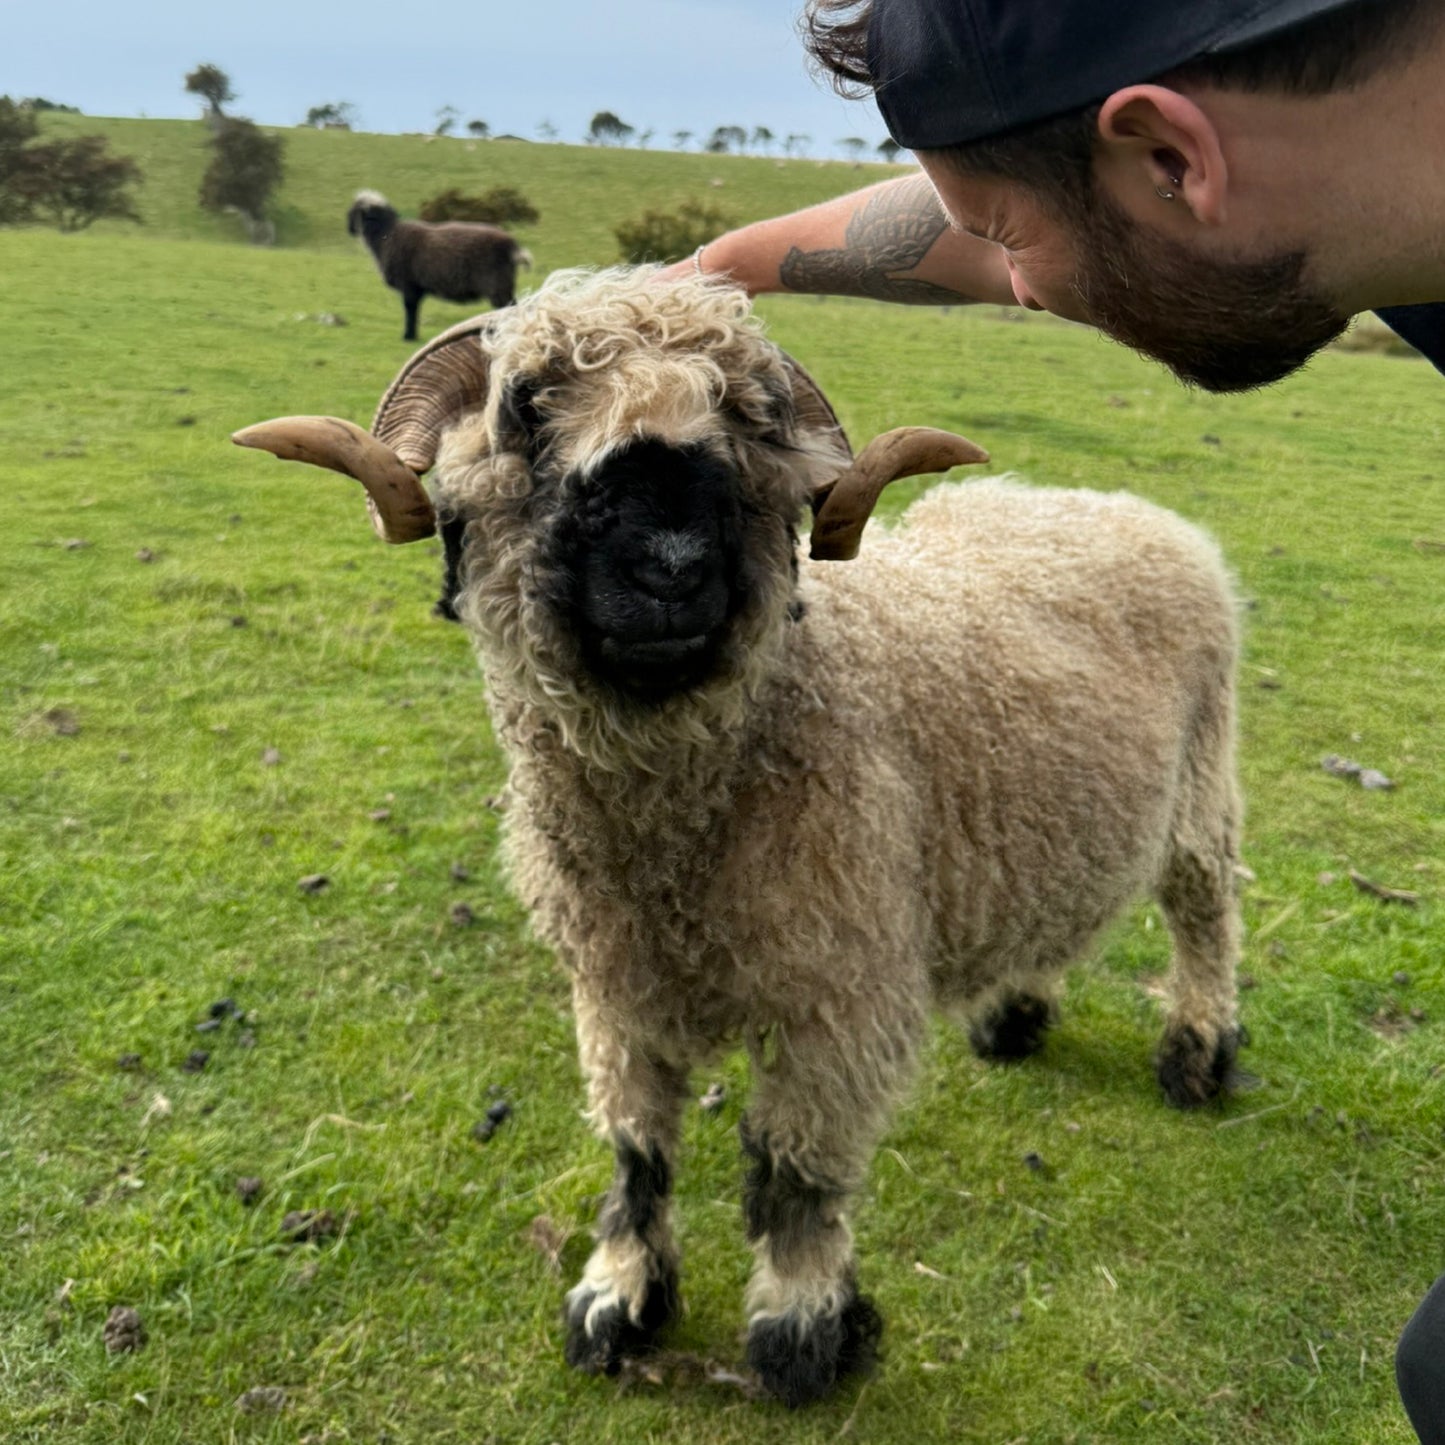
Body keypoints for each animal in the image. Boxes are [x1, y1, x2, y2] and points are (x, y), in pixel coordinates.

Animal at [233, 267, 1245, 1408]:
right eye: (527, 406)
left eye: (751, 420)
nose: (671, 566)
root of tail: (1106, 505)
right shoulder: (613, 987)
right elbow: (636, 1152)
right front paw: (617, 1299)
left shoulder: (834, 998)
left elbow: (794, 1174)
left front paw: (801, 1331)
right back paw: (1013, 1013)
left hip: (1200, 793)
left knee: (1205, 917)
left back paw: (1197, 1051)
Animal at [347, 188, 532, 341]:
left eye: (354, 212)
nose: (350, 230)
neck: (386, 235)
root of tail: (512, 245)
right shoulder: (417, 288)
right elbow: (414, 311)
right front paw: (412, 335)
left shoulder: (408, 285)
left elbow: (410, 310)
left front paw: (408, 336)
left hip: (497, 285)